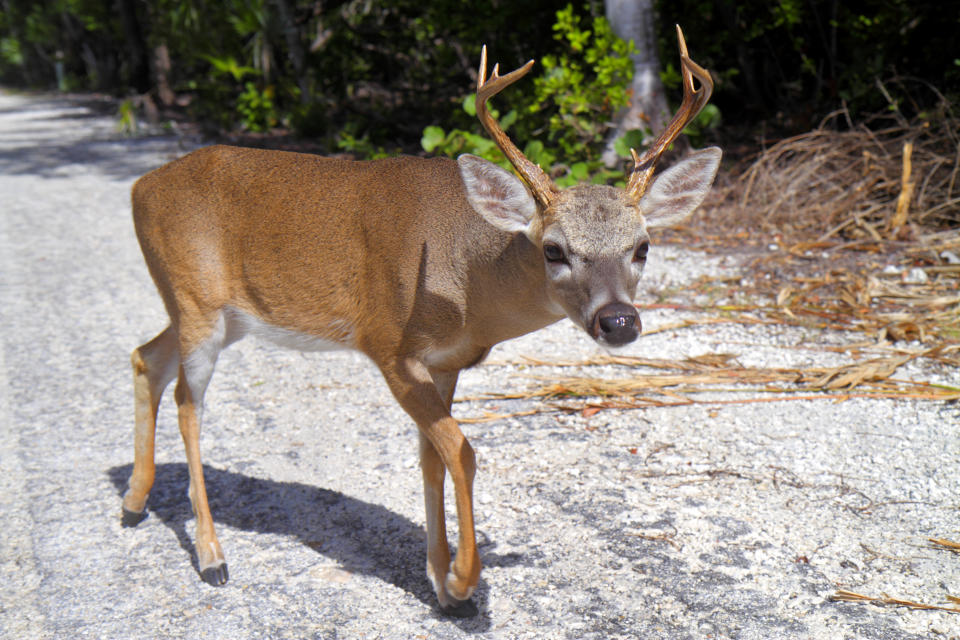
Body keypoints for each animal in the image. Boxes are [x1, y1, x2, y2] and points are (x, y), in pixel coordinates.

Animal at [122, 27, 720, 616]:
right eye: (554, 250)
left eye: (642, 246)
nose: (618, 321)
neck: (470, 289)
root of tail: (138, 186)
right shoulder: (389, 344)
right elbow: (461, 450)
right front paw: (462, 581)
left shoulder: (447, 362)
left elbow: (432, 457)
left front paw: (440, 581)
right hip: (197, 302)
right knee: (188, 400)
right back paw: (211, 556)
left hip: (217, 313)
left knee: (146, 356)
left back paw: (132, 501)